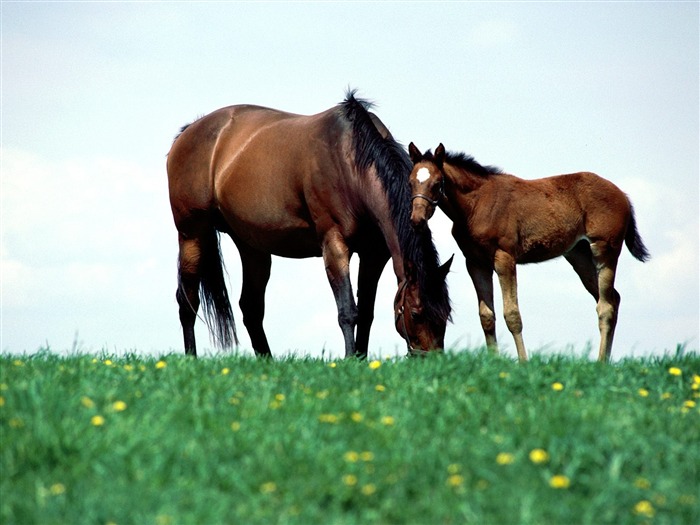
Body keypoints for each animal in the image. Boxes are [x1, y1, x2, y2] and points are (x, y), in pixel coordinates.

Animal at [164, 93, 452, 356]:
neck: (350, 162)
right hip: (192, 234)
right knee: (187, 300)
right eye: (416, 313)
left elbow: (366, 312)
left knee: (251, 307)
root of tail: (188, 132)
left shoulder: (374, 255)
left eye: (447, 313)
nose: (432, 361)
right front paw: (350, 359)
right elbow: (348, 310)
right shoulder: (334, 245)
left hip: (252, 247)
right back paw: (191, 358)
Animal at [408, 143, 648, 364]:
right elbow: (486, 316)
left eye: (437, 183)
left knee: (606, 306)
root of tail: (623, 195)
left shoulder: (504, 258)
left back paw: (600, 363)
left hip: (605, 251)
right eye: (411, 182)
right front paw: (494, 363)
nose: (416, 220)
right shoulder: (476, 263)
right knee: (613, 298)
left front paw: (523, 362)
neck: (476, 205)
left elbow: (512, 314)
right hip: (579, 255)